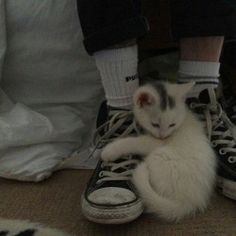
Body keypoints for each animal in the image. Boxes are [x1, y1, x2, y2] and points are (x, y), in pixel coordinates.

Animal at [101, 80, 216, 221]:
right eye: (155, 124)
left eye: (172, 124)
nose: (163, 136)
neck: (185, 118)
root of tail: (188, 202)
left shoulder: (158, 143)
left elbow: (136, 142)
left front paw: (110, 150)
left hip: (159, 156)